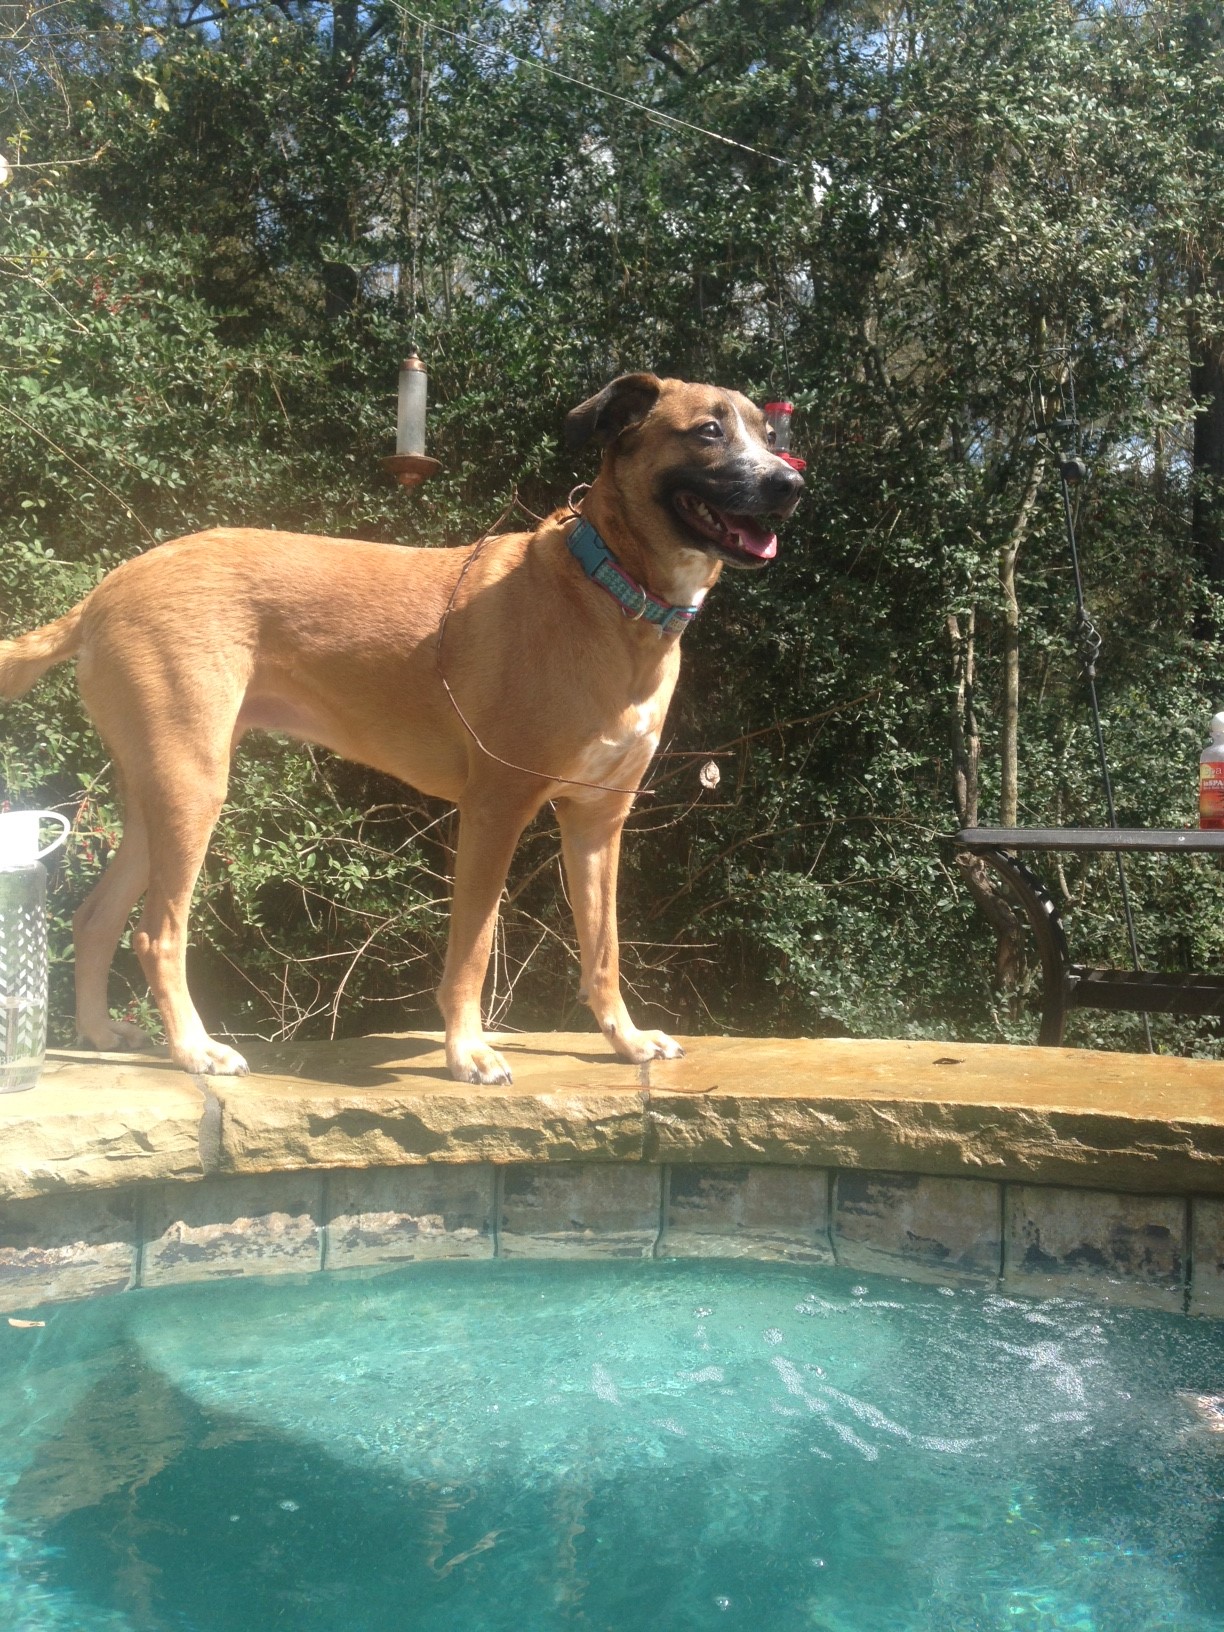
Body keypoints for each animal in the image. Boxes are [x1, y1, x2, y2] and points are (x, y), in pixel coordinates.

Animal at [0, 373, 803, 1083]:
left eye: (769, 436)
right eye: (707, 431)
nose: (790, 486)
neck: (613, 592)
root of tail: (102, 593)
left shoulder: (598, 820)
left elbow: (603, 949)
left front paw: (626, 1042)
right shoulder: (495, 809)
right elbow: (472, 949)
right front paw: (468, 1054)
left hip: (155, 792)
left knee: (96, 918)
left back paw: (101, 1033)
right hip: (191, 788)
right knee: (155, 932)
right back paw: (196, 1051)